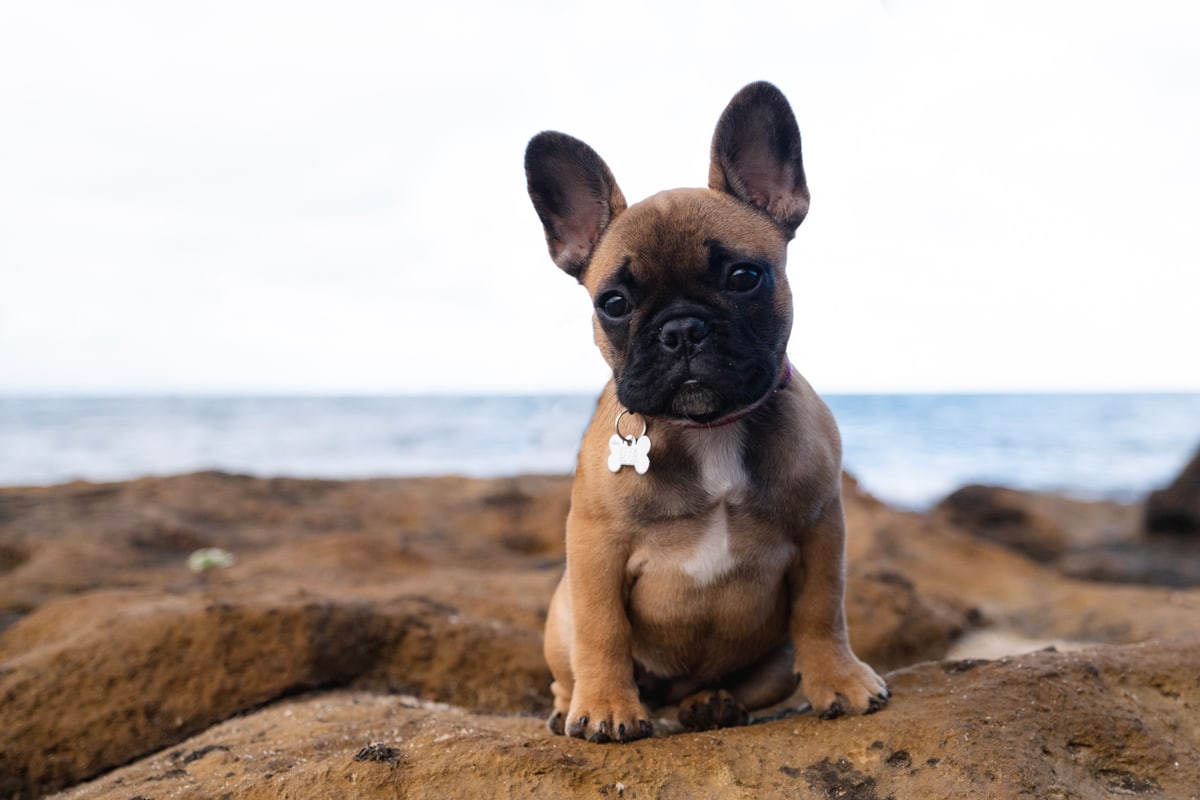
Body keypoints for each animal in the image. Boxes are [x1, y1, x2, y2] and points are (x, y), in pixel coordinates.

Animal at [528, 81, 892, 743]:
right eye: (613, 303)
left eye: (744, 276)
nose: (681, 330)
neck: (709, 429)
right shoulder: (594, 548)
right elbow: (603, 628)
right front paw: (606, 708)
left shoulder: (821, 528)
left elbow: (822, 610)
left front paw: (841, 680)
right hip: (559, 617)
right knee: (568, 665)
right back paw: (573, 706)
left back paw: (711, 704)